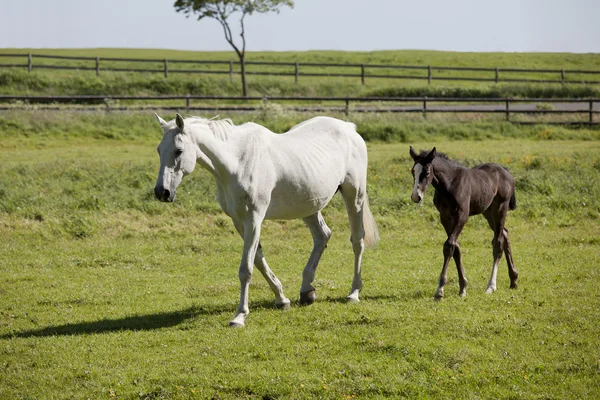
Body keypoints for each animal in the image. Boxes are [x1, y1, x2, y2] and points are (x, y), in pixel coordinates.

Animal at [155, 113, 380, 328]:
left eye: (178, 151)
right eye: (159, 150)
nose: (162, 192)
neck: (238, 161)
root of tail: (349, 128)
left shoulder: (254, 219)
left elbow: (246, 269)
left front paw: (239, 316)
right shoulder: (239, 222)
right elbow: (258, 260)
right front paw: (282, 299)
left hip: (354, 196)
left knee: (357, 241)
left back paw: (354, 292)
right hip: (309, 206)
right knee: (322, 236)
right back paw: (307, 291)